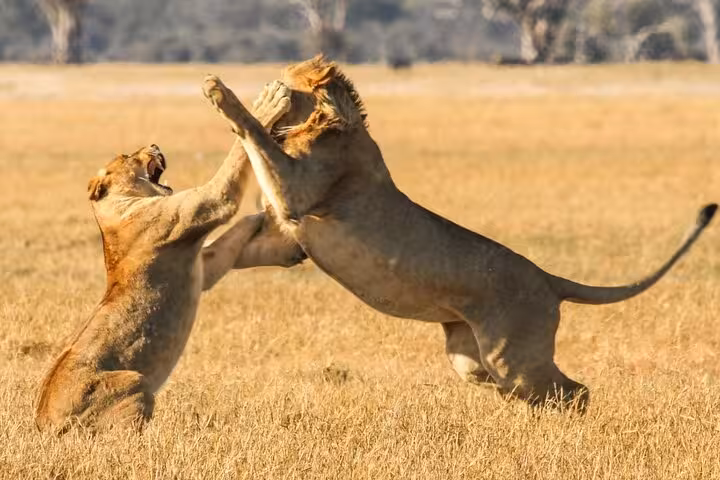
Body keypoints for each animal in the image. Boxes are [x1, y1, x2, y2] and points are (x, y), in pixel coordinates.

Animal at [34, 86, 305, 434]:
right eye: (127, 156)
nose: (153, 144)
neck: (119, 209)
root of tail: (44, 423)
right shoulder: (210, 203)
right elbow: (234, 161)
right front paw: (266, 103)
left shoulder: (204, 263)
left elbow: (242, 232)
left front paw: (286, 237)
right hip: (134, 381)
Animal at [202, 56, 716, 411]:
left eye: (282, 79)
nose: (266, 84)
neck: (329, 123)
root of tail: (548, 279)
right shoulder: (289, 232)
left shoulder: (299, 191)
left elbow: (258, 137)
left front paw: (231, 97)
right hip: (472, 359)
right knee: (529, 388)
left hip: (514, 357)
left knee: (575, 392)